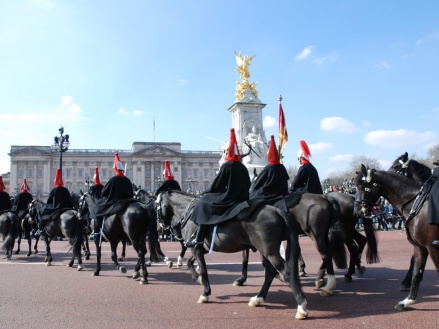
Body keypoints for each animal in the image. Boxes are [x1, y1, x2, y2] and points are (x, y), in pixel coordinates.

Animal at [158, 190, 310, 318]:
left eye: (156, 206)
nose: (161, 228)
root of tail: (276, 210)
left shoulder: (196, 249)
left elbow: (204, 269)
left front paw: (205, 293)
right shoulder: (199, 248)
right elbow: (191, 263)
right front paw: (198, 279)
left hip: (269, 251)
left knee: (286, 272)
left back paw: (301, 307)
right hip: (264, 251)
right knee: (270, 272)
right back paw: (258, 298)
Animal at [354, 165, 439, 308]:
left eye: (362, 186)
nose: (357, 211)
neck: (418, 205)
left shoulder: (433, 248)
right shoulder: (420, 247)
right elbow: (416, 273)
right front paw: (408, 300)